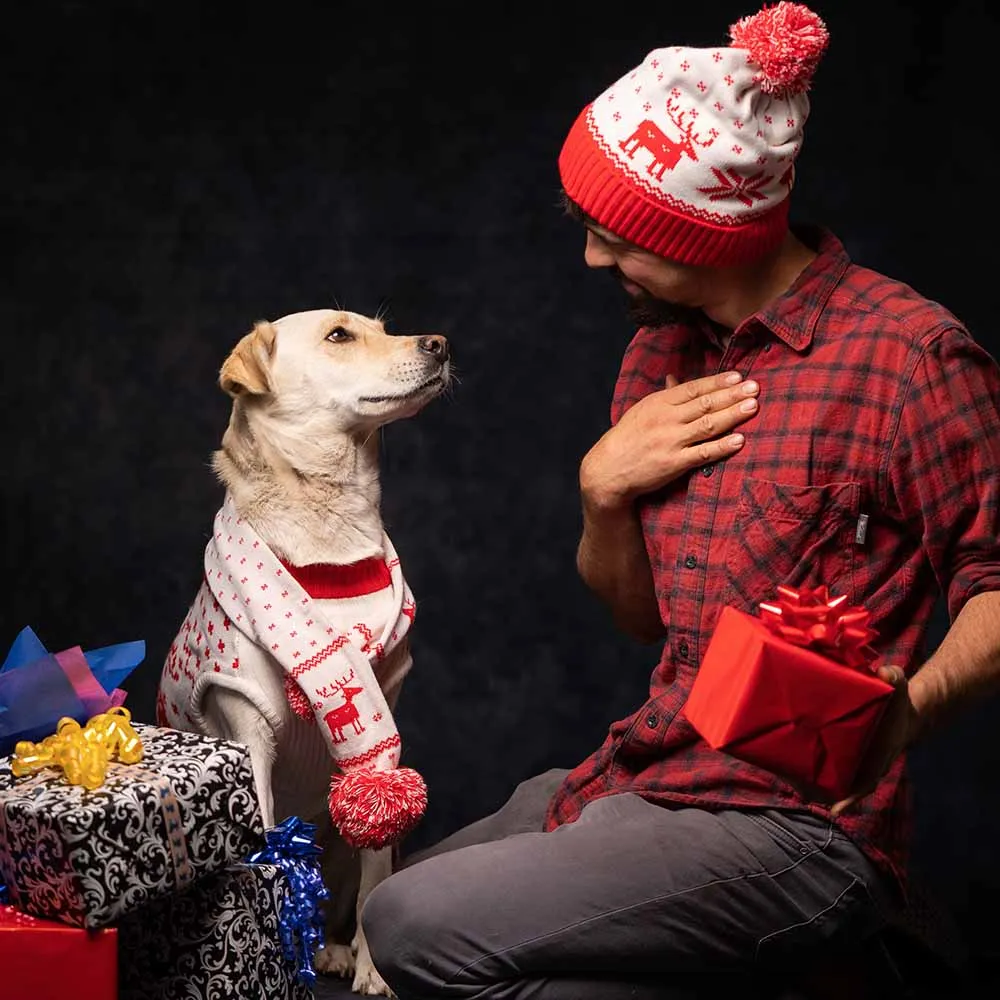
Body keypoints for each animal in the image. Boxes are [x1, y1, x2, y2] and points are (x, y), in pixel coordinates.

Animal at [158, 308, 452, 996]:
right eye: (339, 335)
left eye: (382, 328)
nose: (440, 344)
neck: (331, 548)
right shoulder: (251, 734)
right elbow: (269, 860)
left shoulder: (380, 731)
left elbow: (376, 874)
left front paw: (375, 969)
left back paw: (336, 952)